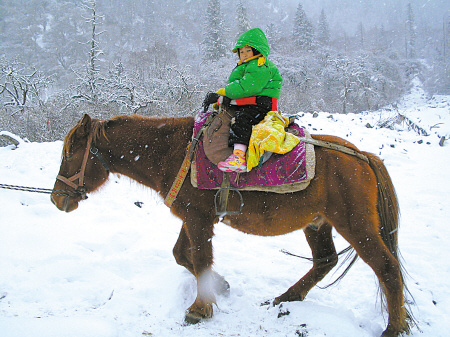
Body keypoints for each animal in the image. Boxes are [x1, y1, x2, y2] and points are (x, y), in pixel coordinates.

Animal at [51, 113, 414, 336]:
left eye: (69, 153)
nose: (56, 199)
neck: (172, 152)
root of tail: (363, 156)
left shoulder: (198, 220)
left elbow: (198, 258)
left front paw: (199, 310)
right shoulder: (193, 217)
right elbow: (183, 255)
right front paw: (220, 287)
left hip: (356, 225)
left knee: (386, 267)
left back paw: (394, 328)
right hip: (317, 223)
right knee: (326, 260)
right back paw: (287, 297)